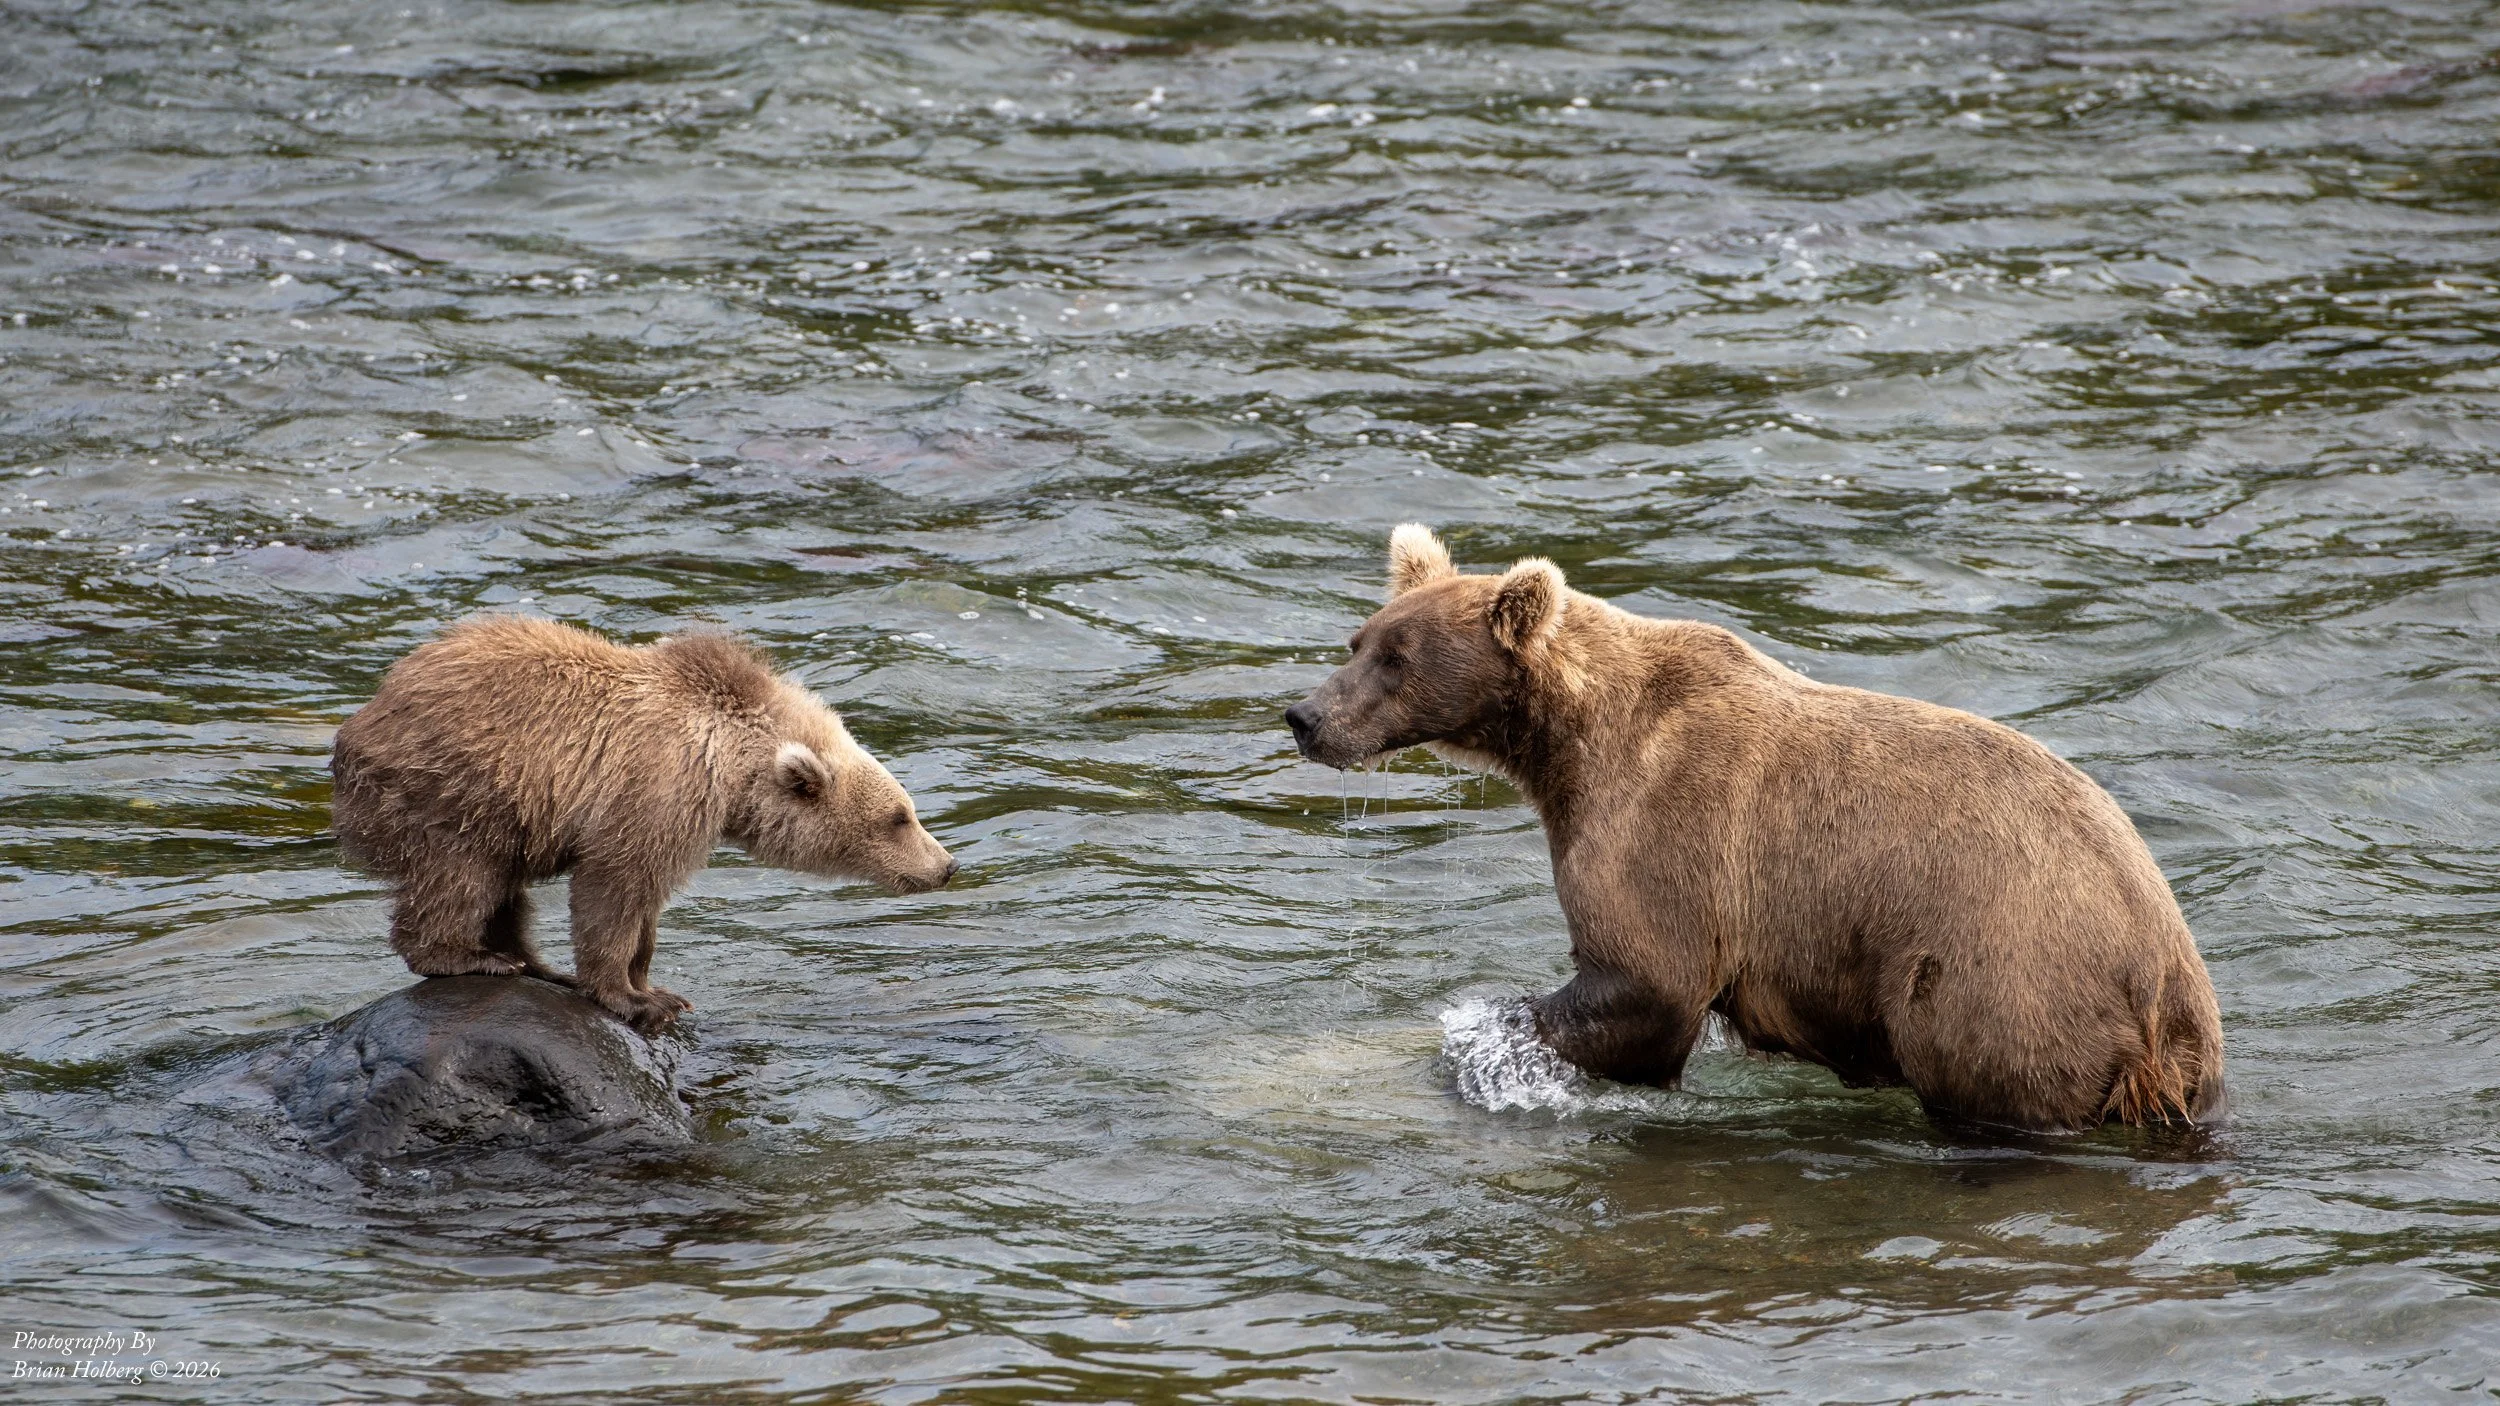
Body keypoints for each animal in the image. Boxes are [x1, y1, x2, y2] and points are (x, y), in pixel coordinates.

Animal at [331, 615, 956, 1033]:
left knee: (506, 892)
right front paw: (634, 999)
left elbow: (646, 907)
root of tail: (368, 711)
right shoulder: (655, 794)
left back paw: (536, 965)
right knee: (461, 876)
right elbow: (615, 889)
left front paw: (655, 985)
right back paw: (471, 957)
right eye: (899, 817)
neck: (732, 764)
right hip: (456, 788)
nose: (947, 865)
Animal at [1284, 525, 2225, 1132]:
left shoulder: (1665, 827)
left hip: (1999, 978)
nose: (1304, 716)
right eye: (1359, 640)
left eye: (1397, 660)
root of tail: (2158, 981)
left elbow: (1647, 980)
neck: (1570, 745)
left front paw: (1489, 1031)